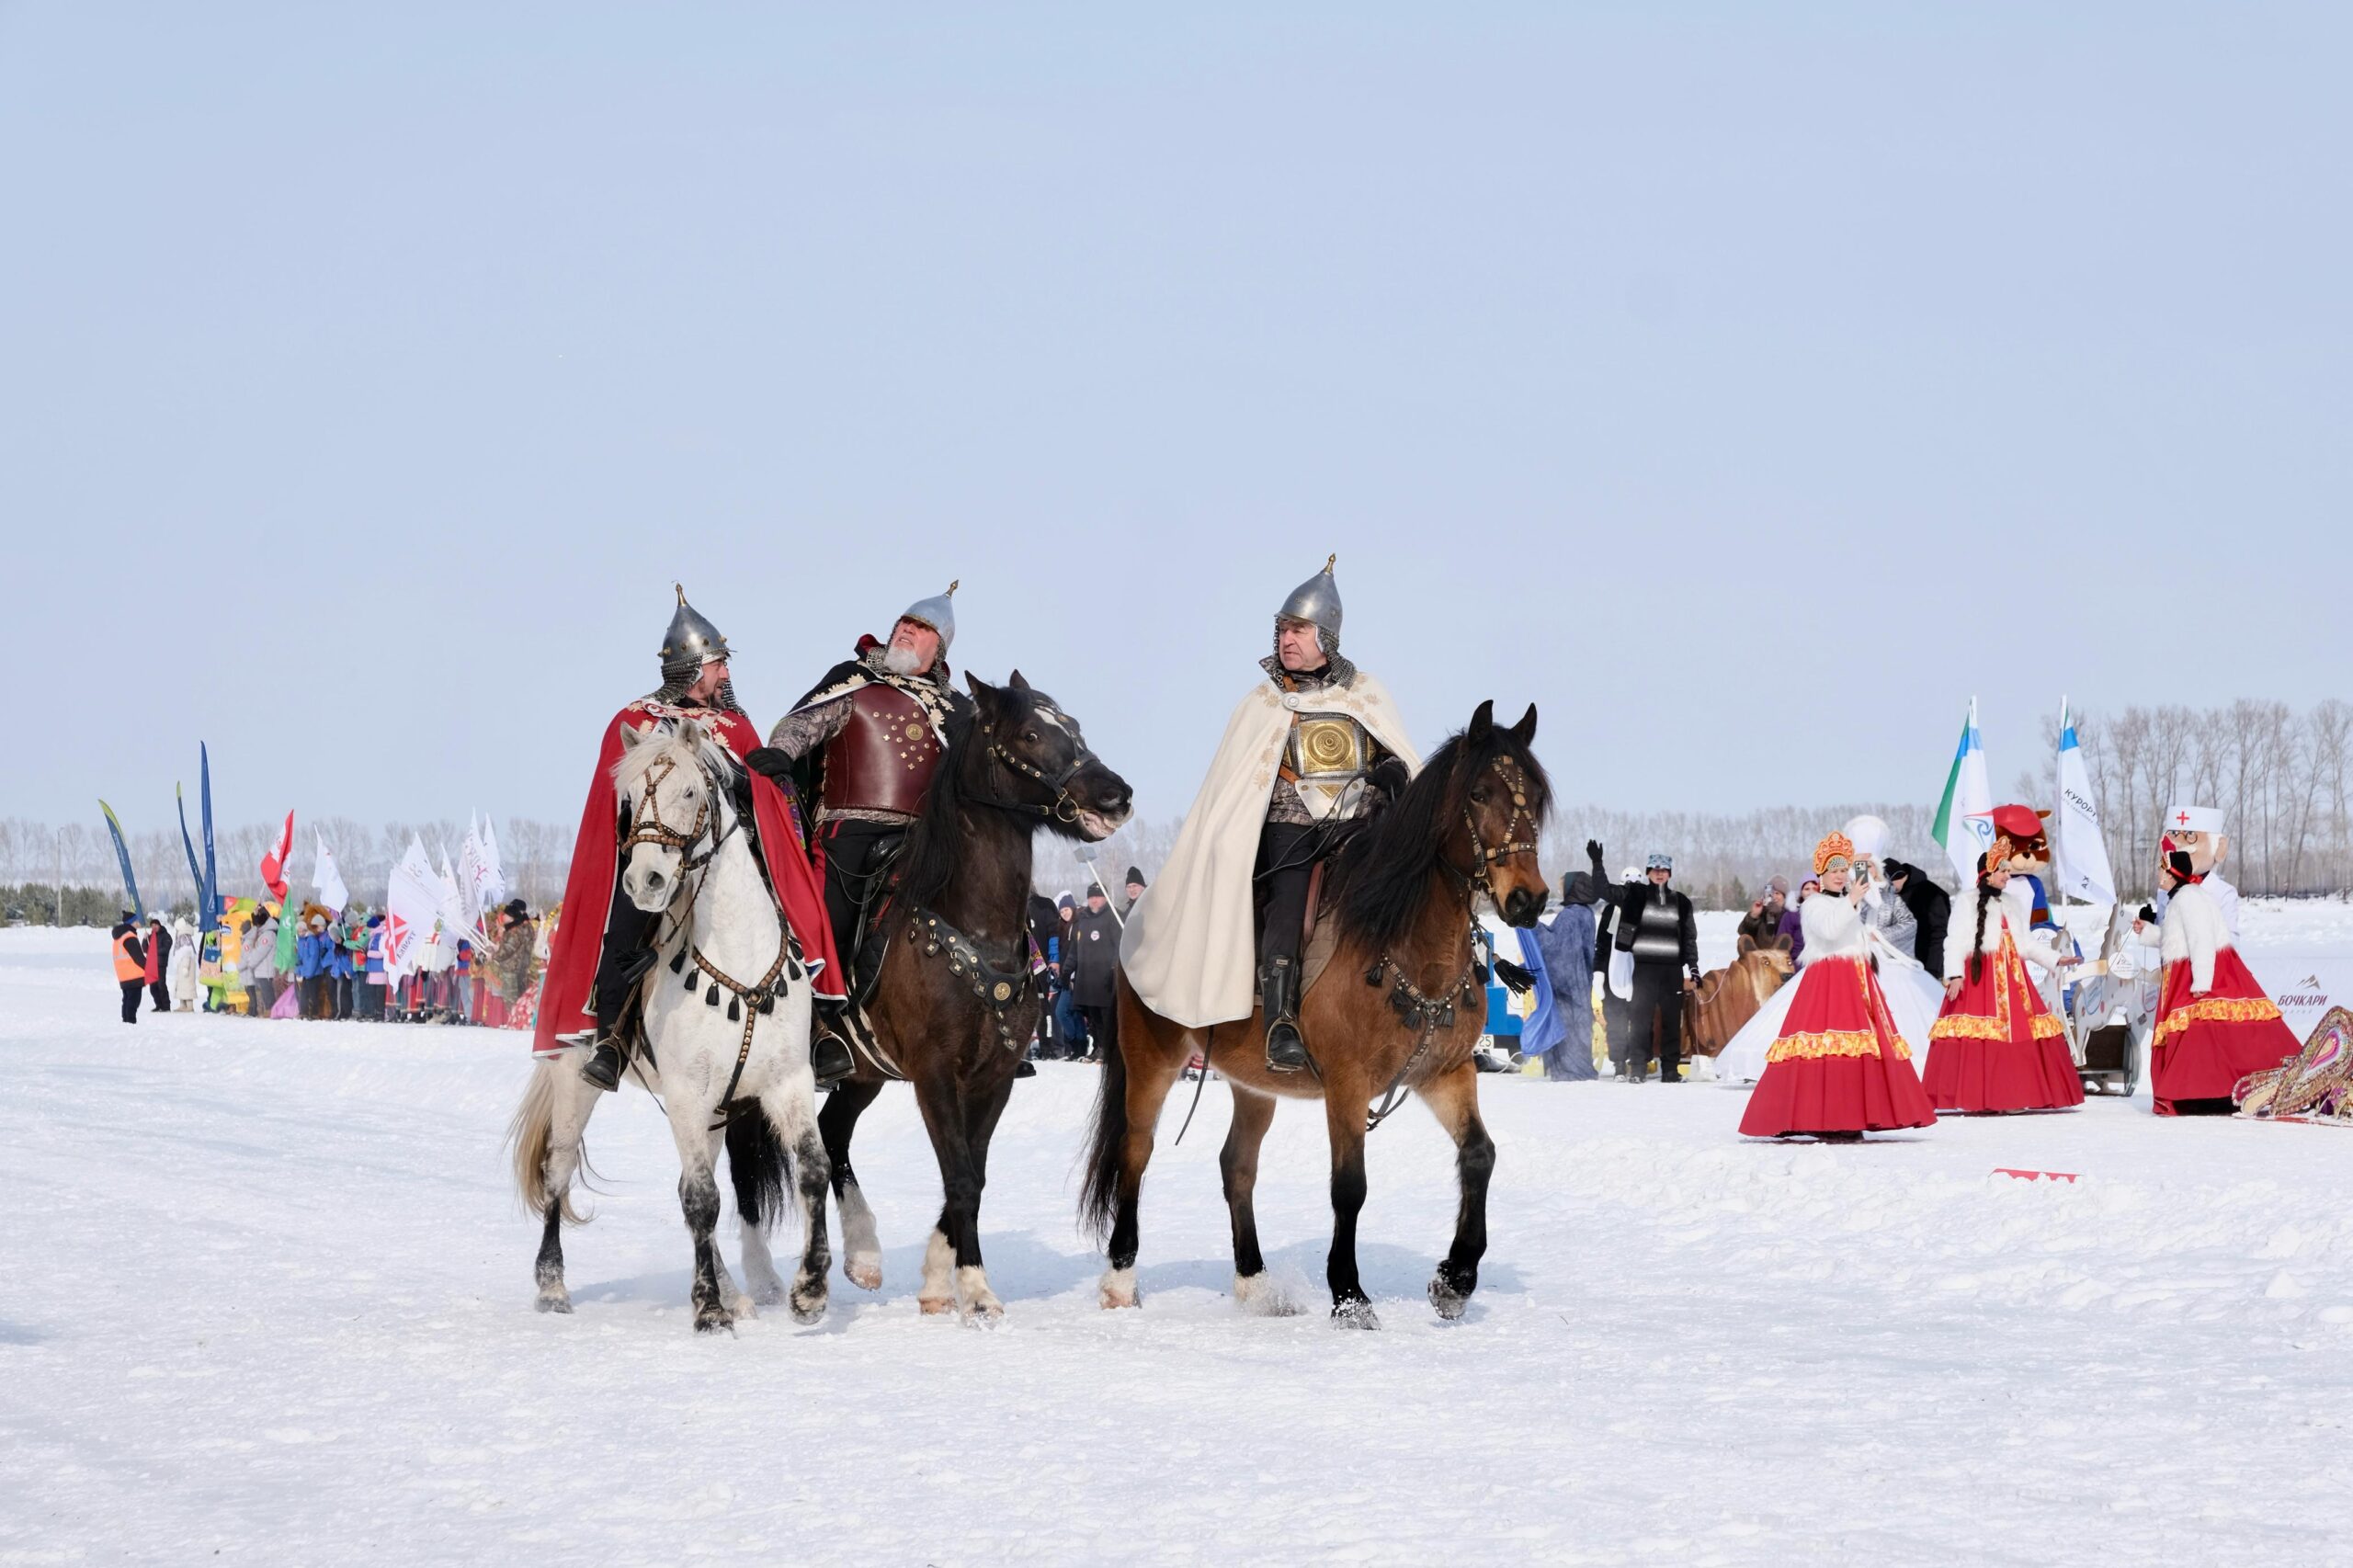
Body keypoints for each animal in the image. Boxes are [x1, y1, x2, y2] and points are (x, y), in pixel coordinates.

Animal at [508, 717, 834, 1334]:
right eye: (628, 799)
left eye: (689, 792)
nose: (647, 880)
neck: (737, 958)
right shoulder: (685, 1094)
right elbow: (701, 1200)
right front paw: (708, 1310)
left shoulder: (787, 1083)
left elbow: (812, 1170)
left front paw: (810, 1291)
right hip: (574, 1081)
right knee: (559, 1172)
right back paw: (552, 1286)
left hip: (717, 1112)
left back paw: (735, 1292)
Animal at [817, 671, 1133, 1322]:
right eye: (1031, 733)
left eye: (1075, 726)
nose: (1115, 796)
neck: (974, 927)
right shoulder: (935, 1072)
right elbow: (959, 1176)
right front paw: (975, 1288)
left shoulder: (994, 1074)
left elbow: (973, 1175)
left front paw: (941, 1280)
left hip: (863, 1072)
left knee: (832, 1131)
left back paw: (863, 1254)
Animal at [1082, 699, 1551, 1328]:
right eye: (1479, 793)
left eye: (1536, 796)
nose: (1528, 899)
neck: (1400, 937)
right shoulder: (1346, 1083)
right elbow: (1349, 1187)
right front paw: (1350, 1296)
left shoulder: (1445, 1073)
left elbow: (1480, 1155)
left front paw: (1455, 1280)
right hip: (1150, 1057)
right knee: (1136, 1152)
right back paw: (1119, 1280)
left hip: (1253, 1082)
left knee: (1237, 1165)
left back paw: (1256, 1286)